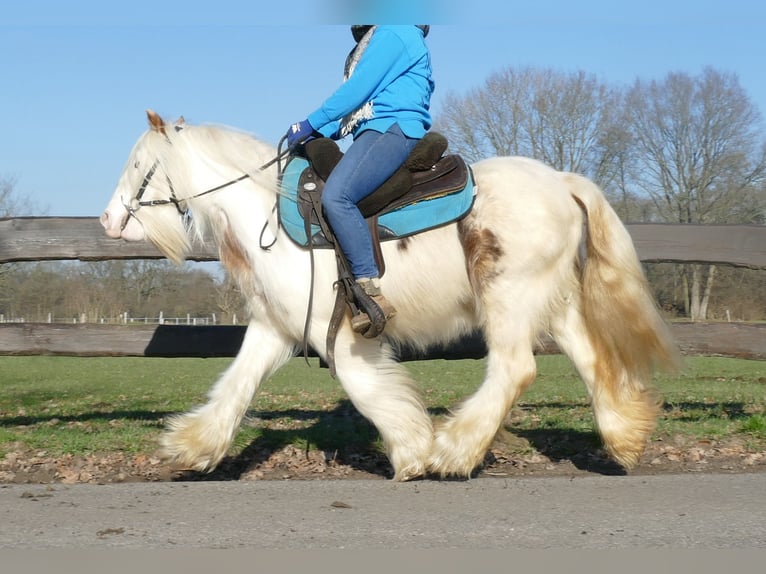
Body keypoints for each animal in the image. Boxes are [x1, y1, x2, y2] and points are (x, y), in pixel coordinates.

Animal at [100, 111, 680, 482]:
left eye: (138, 167)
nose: (107, 220)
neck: (267, 212)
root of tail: (561, 180)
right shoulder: (274, 329)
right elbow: (236, 385)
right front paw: (191, 447)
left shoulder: (336, 333)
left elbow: (368, 391)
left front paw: (412, 452)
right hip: (551, 303)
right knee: (592, 361)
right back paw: (624, 438)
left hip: (509, 298)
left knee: (515, 369)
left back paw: (454, 451)